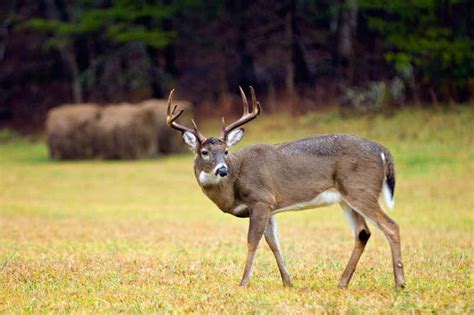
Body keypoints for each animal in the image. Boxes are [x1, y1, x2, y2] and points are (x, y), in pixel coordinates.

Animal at [165, 86, 406, 288]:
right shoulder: (269, 206)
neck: (234, 181)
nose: (222, 170)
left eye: (225, 151)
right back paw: (342, 282)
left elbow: (252, 241)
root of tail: (383, 151)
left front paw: (243, 282)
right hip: (346, 197)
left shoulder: (260, 199)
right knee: (363, 232)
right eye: (204, 152)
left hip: (360, 189)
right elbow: (274, 243)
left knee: (391, 226)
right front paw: (287, 281)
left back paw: (399, 283)